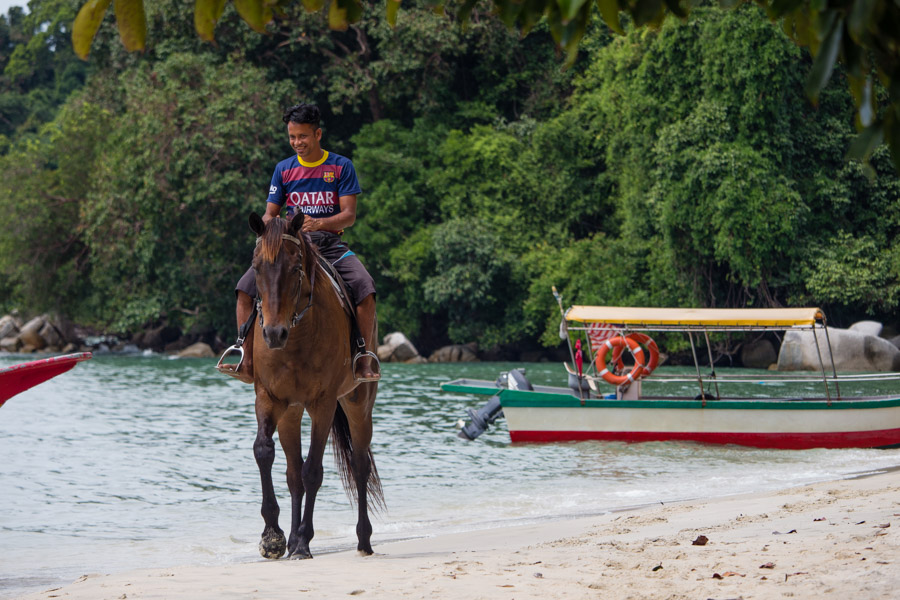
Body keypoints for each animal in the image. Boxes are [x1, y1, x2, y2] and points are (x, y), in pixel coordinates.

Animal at [248, 211, 384, 556]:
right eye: (256, 268)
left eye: (295, 268)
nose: (273, 334)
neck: (297, 338)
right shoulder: (269, 398)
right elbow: (264, 452)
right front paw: (274, 535)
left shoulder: (323, 403)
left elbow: (314, 471)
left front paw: (302, 541)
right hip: (291, 413)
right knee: (292, 472)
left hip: (358, 404)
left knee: (359, 464)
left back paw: (363, 538)